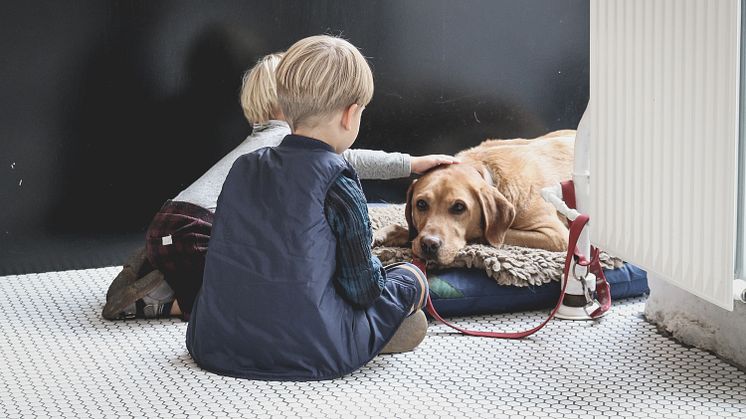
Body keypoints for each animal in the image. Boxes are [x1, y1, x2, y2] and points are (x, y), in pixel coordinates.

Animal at [378, 130, 576, 264]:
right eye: (421, 204)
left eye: (459, 207)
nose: (429, 244)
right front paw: (393, 233)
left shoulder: (556, 235)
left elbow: (486, 234)